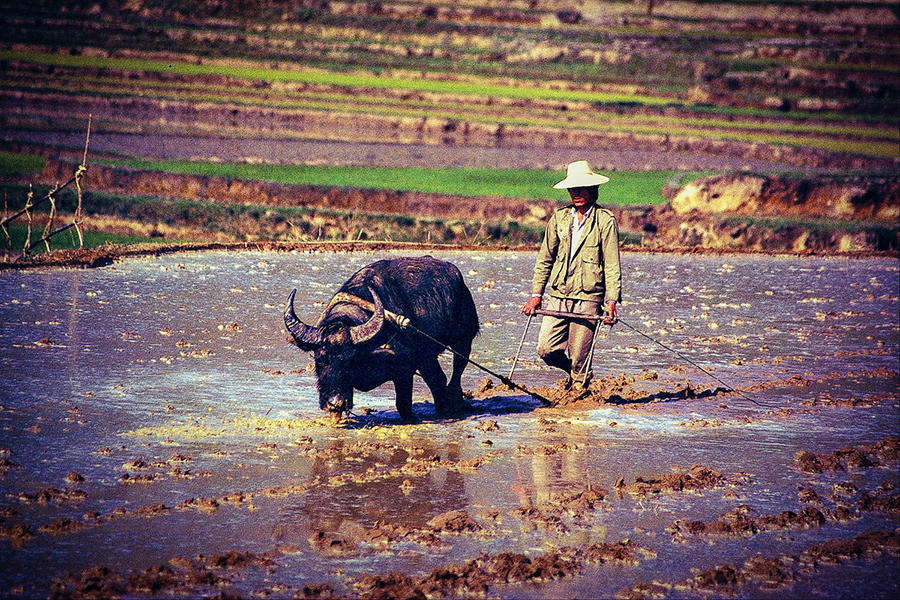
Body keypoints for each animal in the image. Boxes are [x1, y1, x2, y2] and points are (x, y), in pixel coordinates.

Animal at [284, 255, 478, 420]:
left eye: (350, 360)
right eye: (319, 359)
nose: (335, 402)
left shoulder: (404, 370)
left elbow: (403, 405)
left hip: (463, 338)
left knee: (457, 368)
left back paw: (455, 402)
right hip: (427, 355)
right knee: (436, 378)